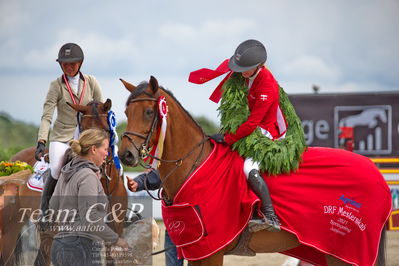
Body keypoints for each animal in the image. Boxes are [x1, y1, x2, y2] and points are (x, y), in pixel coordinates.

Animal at [1, 99, 126, 266]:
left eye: (106, 129)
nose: (97, 166)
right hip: (13, 228)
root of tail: (13, 160)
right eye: (83, 129)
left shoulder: (113, 232)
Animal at [117, 76, 390, 266]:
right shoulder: (196, 252)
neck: (193, 167)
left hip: (345, 253)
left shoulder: (212, 251)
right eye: (126, 112)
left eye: (149, 112)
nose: (125, 155)